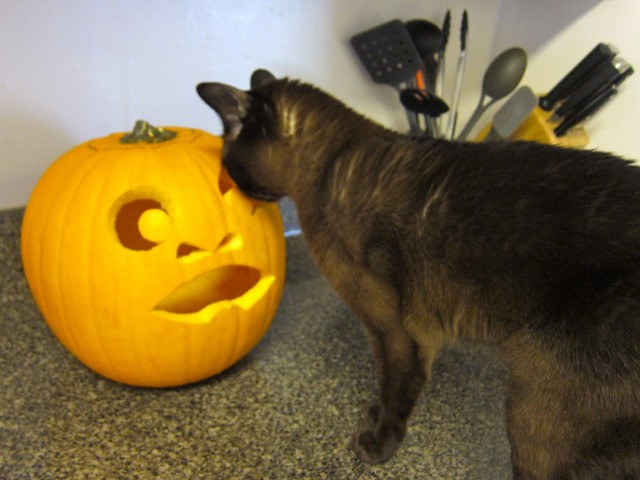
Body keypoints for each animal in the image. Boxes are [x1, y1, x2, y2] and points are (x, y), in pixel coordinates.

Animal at [198, 70, 636, 480]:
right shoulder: (388, 333)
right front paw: (372, 415)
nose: (234, 187)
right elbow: (385, 390)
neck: (331, 167)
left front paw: (377, 445)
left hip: (535, 415)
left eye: (227, 166)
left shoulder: (395, 332)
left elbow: (395, 393)